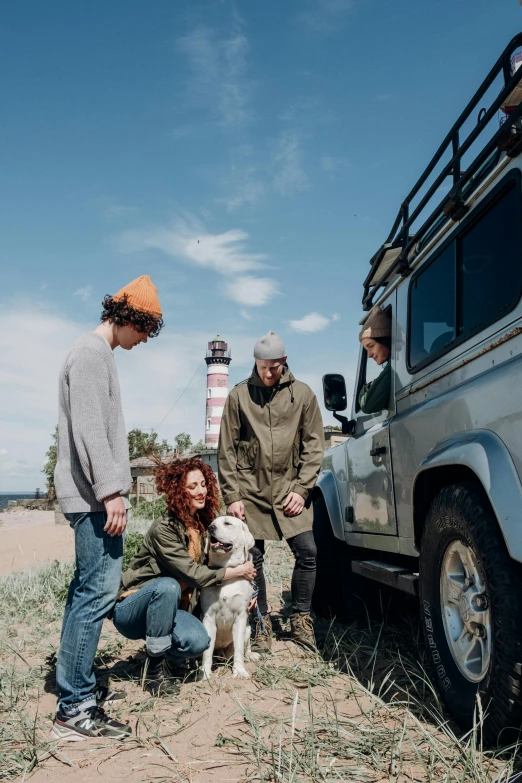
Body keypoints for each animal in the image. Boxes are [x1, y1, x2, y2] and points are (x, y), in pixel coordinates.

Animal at [199, 516, 260, 680]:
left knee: (245, 648)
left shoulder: (240, 617)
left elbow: (238, 649)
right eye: (212, 523)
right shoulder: (208, 617)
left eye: (227, 523)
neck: (227, 571)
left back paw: (251, 655)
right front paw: (205, 673)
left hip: (248, 629)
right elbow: (207, 652)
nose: (210, 528)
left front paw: (239, 671)